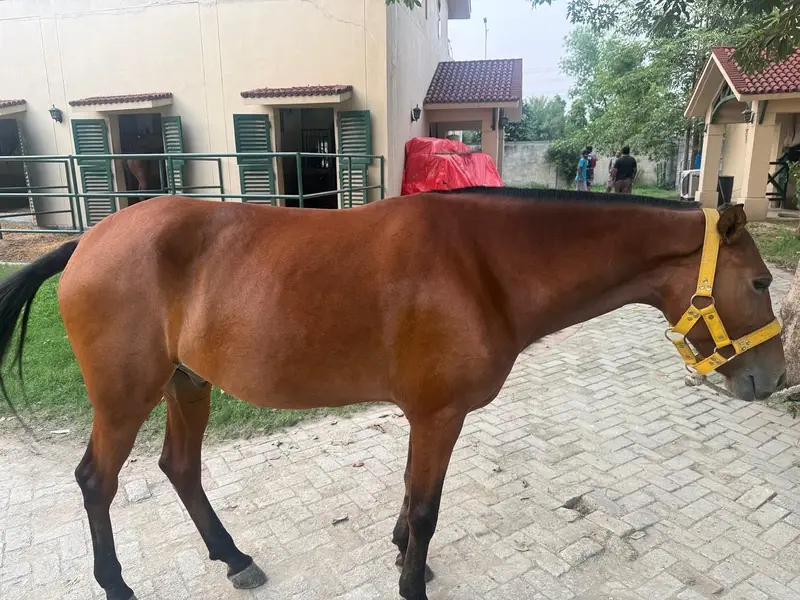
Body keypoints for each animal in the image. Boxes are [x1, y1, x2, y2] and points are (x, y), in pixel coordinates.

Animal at [0, 187, 785, 600]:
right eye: (760, 282)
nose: (774, 378)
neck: (483, 265)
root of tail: (87, 242)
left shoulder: (425, 416)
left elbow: (412, 499)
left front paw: (406, 554)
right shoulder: (440, 415)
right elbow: (429, 508)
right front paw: (413, 581)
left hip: (186, 386)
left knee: (181, 470)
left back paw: (234, 557)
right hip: (124, 398)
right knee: (97, 482)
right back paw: (117, 583)